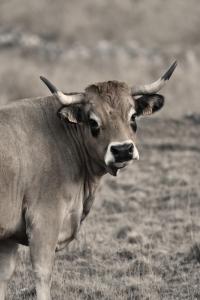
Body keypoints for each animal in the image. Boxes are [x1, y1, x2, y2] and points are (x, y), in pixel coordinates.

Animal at [0, 61, 177, 300]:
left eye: (133, 117)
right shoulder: (44, 222)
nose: (123, 150)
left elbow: (4, 275)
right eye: (93, 122)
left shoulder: (8, 235)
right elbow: (43, 274)